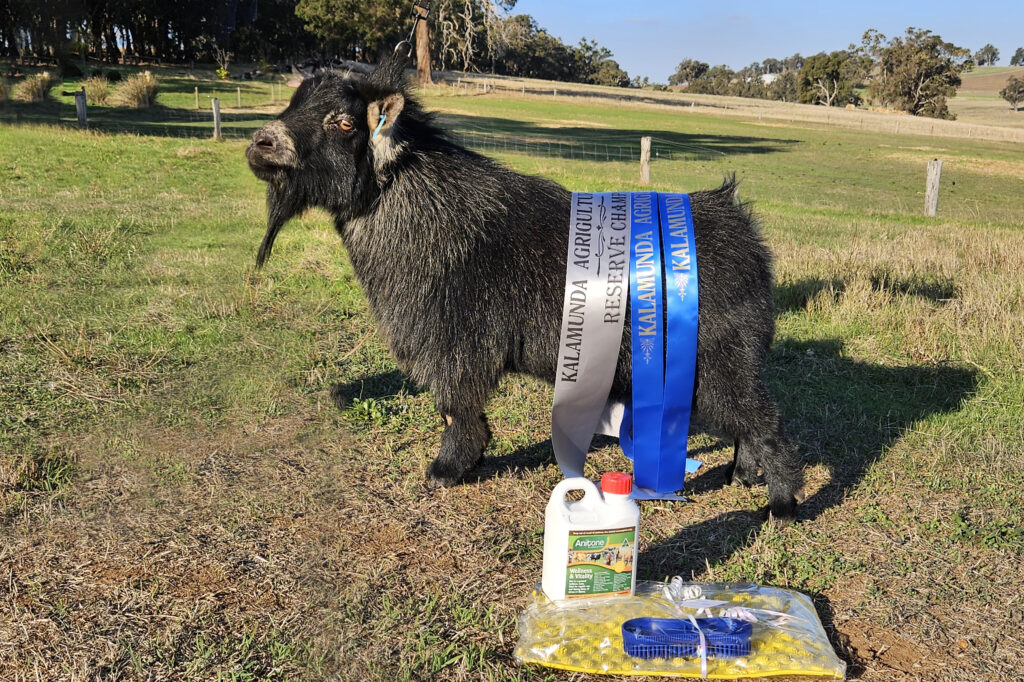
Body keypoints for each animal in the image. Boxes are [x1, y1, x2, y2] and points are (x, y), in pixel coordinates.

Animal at [245, 55, 804, 520]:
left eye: (342, 122)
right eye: (294, 103)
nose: (261, 144)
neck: (424, 214)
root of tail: (746, 234)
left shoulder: (456, 345)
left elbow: (457, 408)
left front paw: (446, 470)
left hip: (721, 361)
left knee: (766, 421)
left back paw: (780, 503)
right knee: (749, 423)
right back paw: (741, 474)